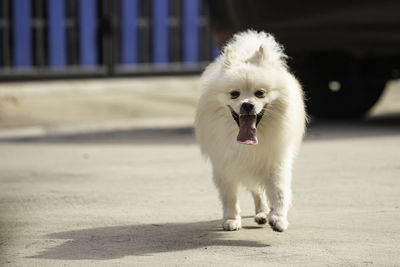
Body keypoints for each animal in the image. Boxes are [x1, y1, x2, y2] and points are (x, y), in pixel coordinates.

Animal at [195, 30, 304, 232]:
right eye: (234, 94)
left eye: (260, 93)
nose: (247, 105)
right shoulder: (225, 166)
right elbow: (230, 196)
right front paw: (231, 219)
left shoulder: (274, 162)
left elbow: (279, 192)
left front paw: (278, 217)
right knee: (257, 191)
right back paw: (261, 213)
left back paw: (264, 214)